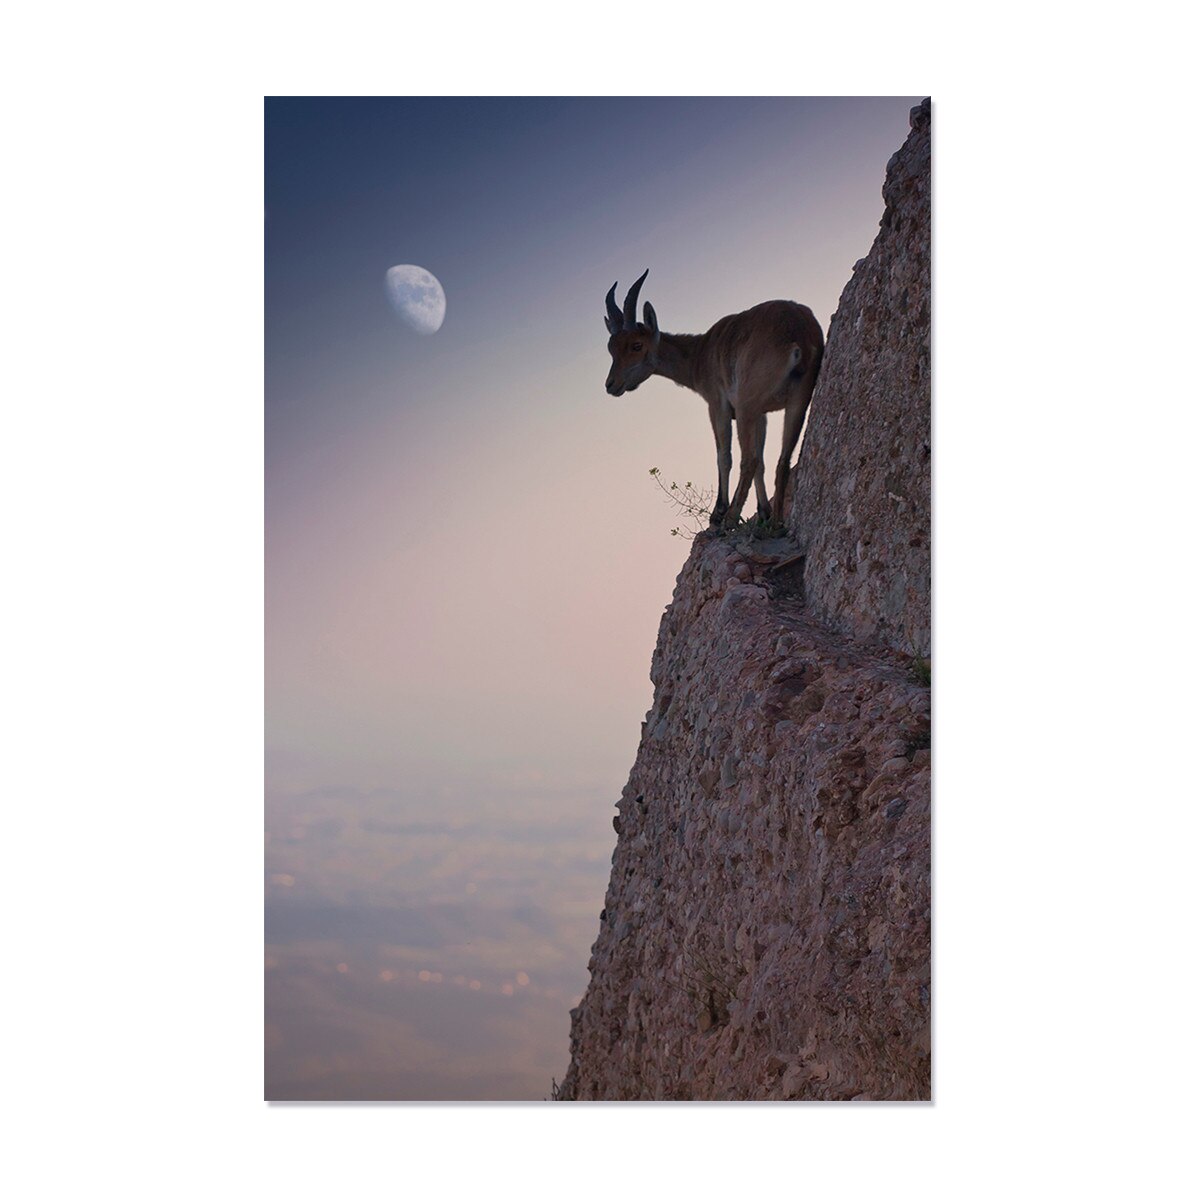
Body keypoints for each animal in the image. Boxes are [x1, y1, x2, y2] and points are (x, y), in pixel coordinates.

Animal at [604, 269, 824, 529]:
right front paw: (764, 512)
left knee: (748, 459)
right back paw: (775, 525)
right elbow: (761, 461)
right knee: (782, 460)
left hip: (747, 403)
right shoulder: (762, 413)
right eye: (611, 348)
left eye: (636, 345)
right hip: (798, 399)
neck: (700, 353)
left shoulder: (718, 404)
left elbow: (724, 456)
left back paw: (730, 518)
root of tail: (798, 333)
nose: (611, 384)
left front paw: (718, 512)